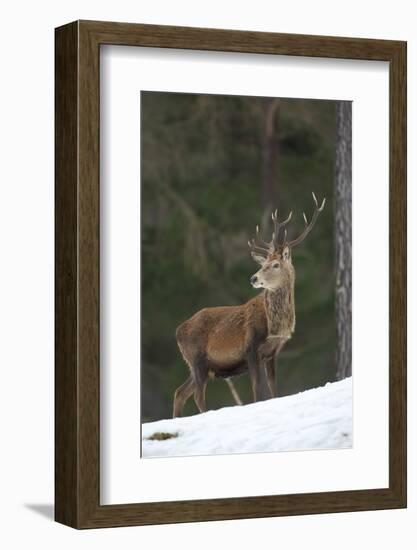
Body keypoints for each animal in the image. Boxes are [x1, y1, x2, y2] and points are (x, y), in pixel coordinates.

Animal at [172, 193, 324, 418]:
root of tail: (178, 331)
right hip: (196, 358)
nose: (253, 278)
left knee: (180, 392)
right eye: (263, 264)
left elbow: (273, 389)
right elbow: (257, 390)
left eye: (275, 264)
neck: (275, 326)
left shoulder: (272, 353)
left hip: (201, 366)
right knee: (197, 395)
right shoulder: (250, 347)